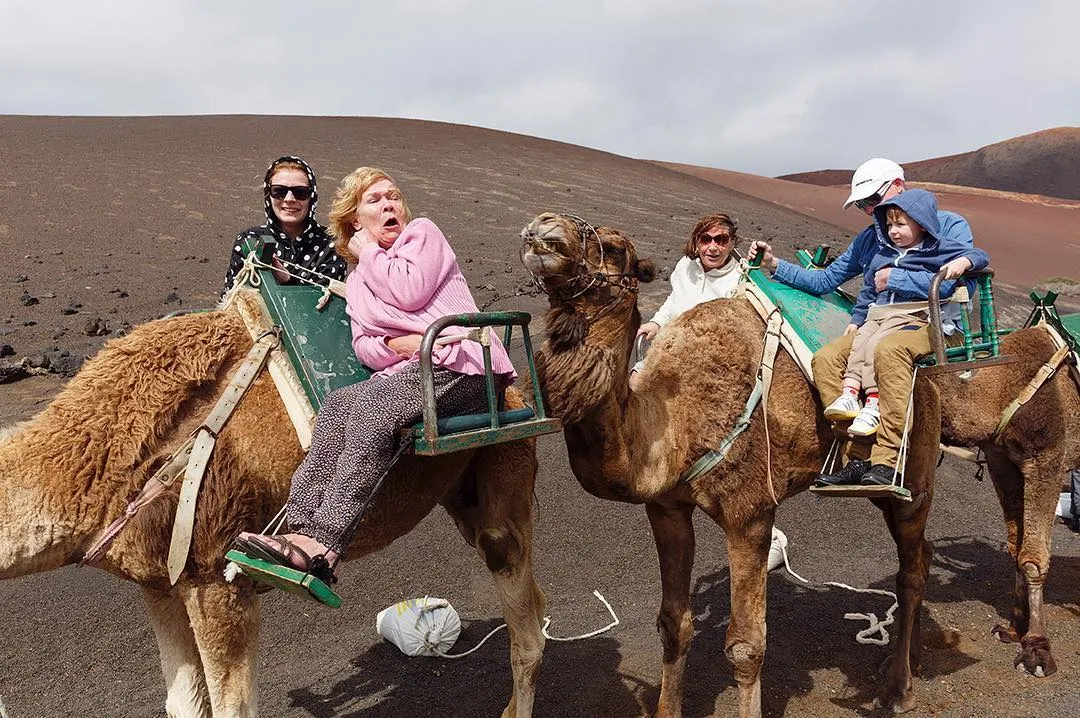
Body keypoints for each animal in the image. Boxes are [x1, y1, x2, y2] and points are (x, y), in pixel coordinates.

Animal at [0, 293, 547, 718]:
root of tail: (512, 383)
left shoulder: (216, 577)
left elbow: (233, 707)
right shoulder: (160, 583)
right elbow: (183, 704)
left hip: (504, 466)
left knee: (523, 616)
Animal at [519, 212, 1077, 718]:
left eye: (614, 249)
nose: (541, 229)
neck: (677, 417)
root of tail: (936, 373)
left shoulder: (750, 513)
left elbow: (745, 647)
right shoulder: (667, 509)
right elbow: (673, 625)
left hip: (915, 475)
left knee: (913, 569)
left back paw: (898, 687)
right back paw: (907, 661)